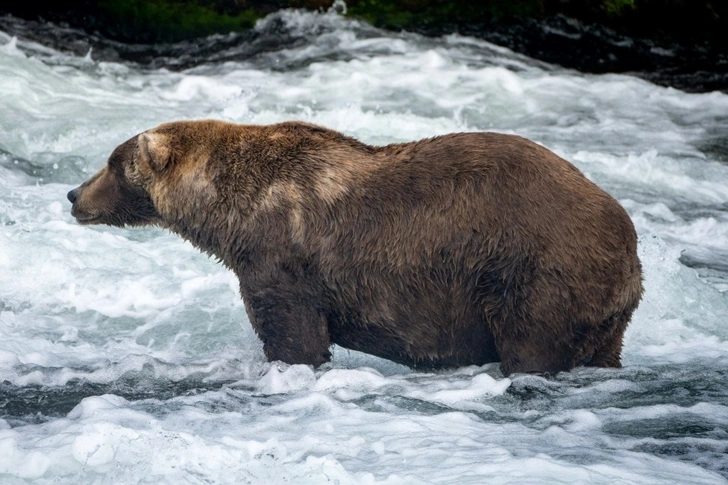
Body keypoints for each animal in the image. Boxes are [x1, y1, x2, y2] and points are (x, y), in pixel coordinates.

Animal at [67, 120, 644, 374]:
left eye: (113, 163)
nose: (73, 194)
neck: (229, 214)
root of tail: (629, 241)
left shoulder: (282, 254)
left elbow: (292, 332)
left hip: (536, 269)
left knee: (531, 343)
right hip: (605, 308)